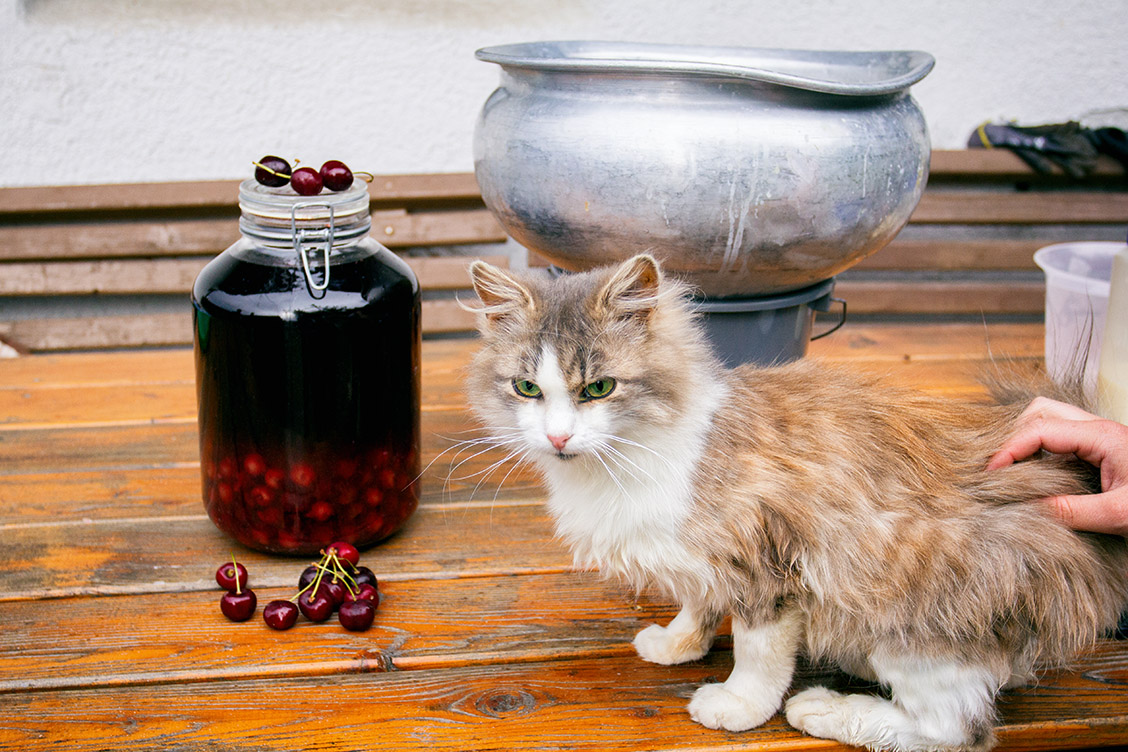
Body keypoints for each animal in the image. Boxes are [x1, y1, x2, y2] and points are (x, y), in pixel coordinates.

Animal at [460, 254, 1128, 752]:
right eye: (527, 388)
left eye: (598, 388)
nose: (557, 438)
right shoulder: (704, 560)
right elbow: (698, 603)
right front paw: (677, 645)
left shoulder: (768, 562)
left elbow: (757, 654)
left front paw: (738, 705)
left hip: (911, 610)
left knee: (955, 728)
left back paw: (828, 710)